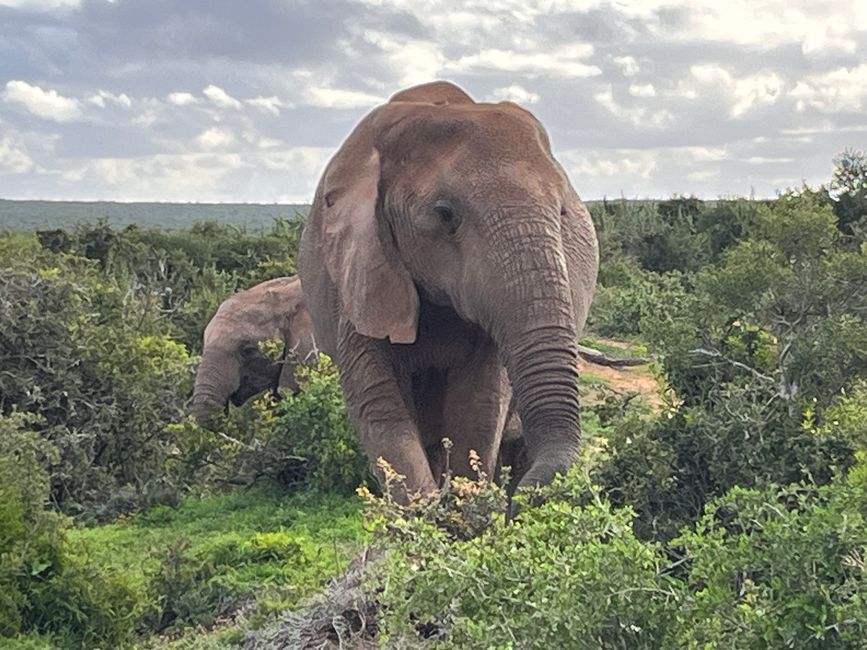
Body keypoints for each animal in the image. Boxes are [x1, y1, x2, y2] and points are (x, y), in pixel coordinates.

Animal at [296, 79, 596, 502]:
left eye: (563, 213)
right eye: (444, 214)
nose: (518, 501)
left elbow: (479, 406)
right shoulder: (361, 270)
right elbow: (380, 407)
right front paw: (425, 514)